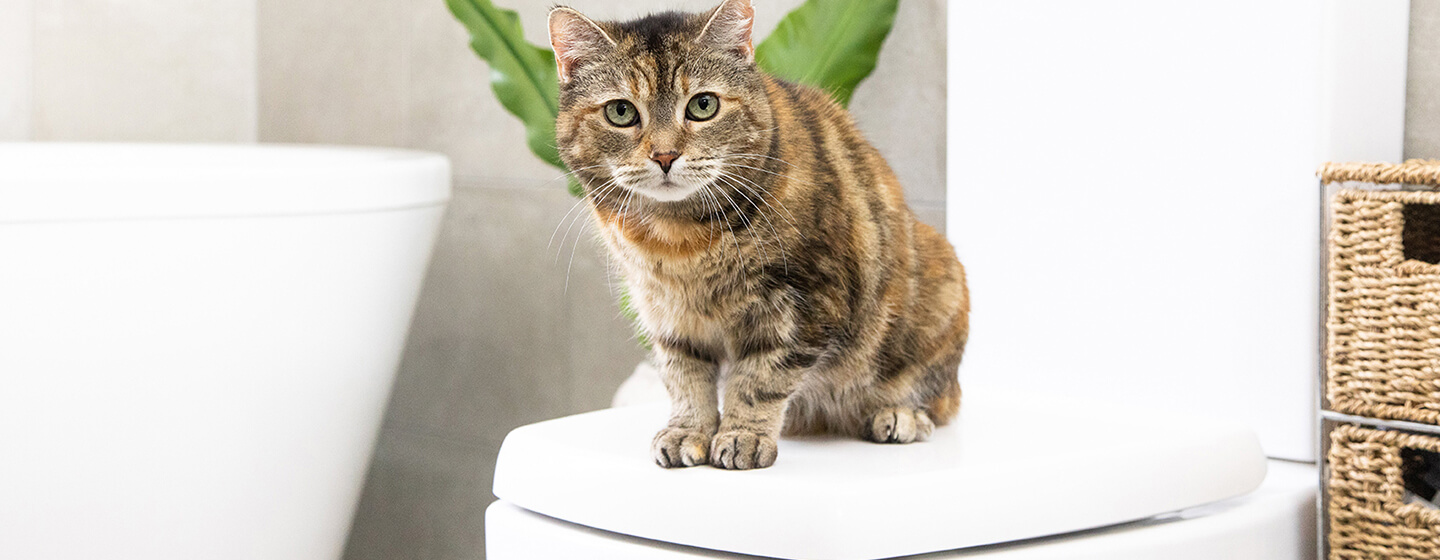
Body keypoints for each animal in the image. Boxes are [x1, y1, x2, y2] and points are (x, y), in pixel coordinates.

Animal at [547, 0, 967, 469]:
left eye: (703, 105)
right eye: (620, 112)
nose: (665, 155)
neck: (678, 239)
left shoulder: (803, 302)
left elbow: (759, 378)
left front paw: (742, 436)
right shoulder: (665, 312)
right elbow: (684, 377)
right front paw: (688, 431)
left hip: (940, 288)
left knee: (937, 399)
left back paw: (899, 415)